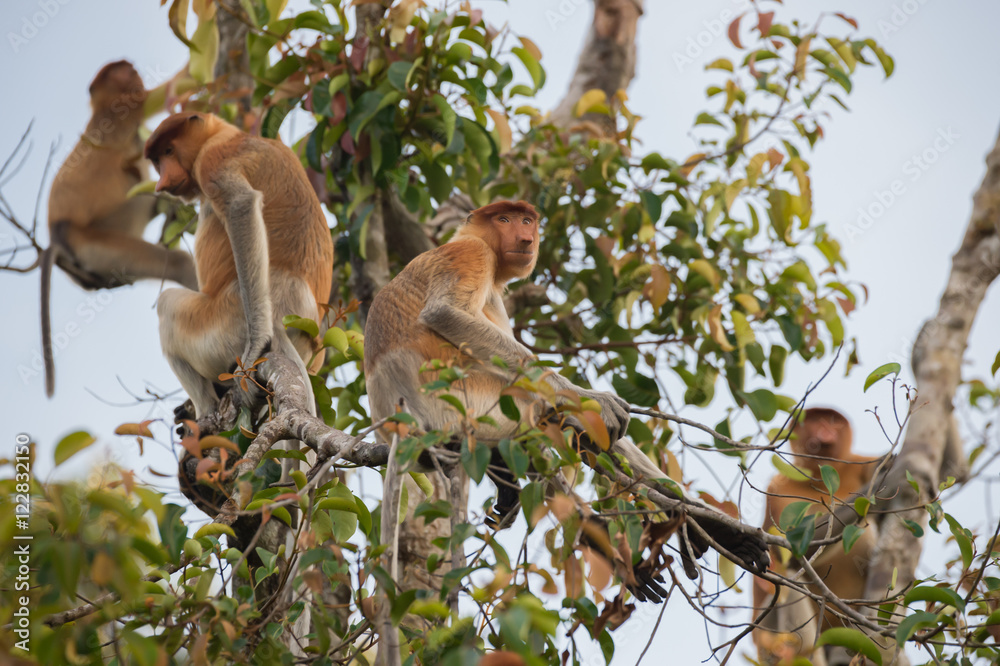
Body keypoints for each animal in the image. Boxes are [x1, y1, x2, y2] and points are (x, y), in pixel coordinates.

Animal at [41, 60, 198, 396]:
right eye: (120, 70)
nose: (132, 70)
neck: (100, 108)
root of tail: (59, 234)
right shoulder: (128, 108)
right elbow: (175, 84)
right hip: (100, 246)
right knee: (172, 258)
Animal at [144, 112, 333, 419]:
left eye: (168, 151)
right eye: (157, 160)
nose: (161, 184)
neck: (225, 133)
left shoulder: (212, 158)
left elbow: (241, 205)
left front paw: (256, 344)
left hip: (221, 326)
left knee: (167, 306)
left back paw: (205, 414)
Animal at [363, 200, 769, 596]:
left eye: (526, 220)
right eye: (504, 219)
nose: (526, 238)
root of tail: (397, 421)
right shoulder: (471, 254)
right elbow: (445, 313)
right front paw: (594, 399)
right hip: (470, 404)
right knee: (543, 406)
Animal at [752, 407, 884, 665]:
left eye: (832, 420)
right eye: (814, 419)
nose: (825, 429)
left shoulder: (862, 463)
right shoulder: (774, 490)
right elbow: (788, 552)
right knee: (788, 581)